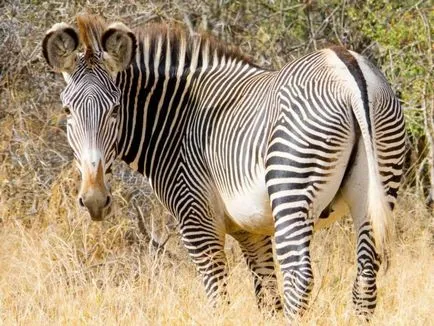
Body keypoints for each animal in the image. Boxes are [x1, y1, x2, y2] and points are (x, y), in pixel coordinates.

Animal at [42, 14, 406, 320]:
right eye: (67, 110)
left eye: (116, 110)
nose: (94, 200)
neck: (177, 121)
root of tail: (346, 68)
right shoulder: (251, 231)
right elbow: (267, 300)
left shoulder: (197, 219)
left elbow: (219, 298)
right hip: (378, 184)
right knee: (365, 280)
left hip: (292, 188)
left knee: (299, 279)